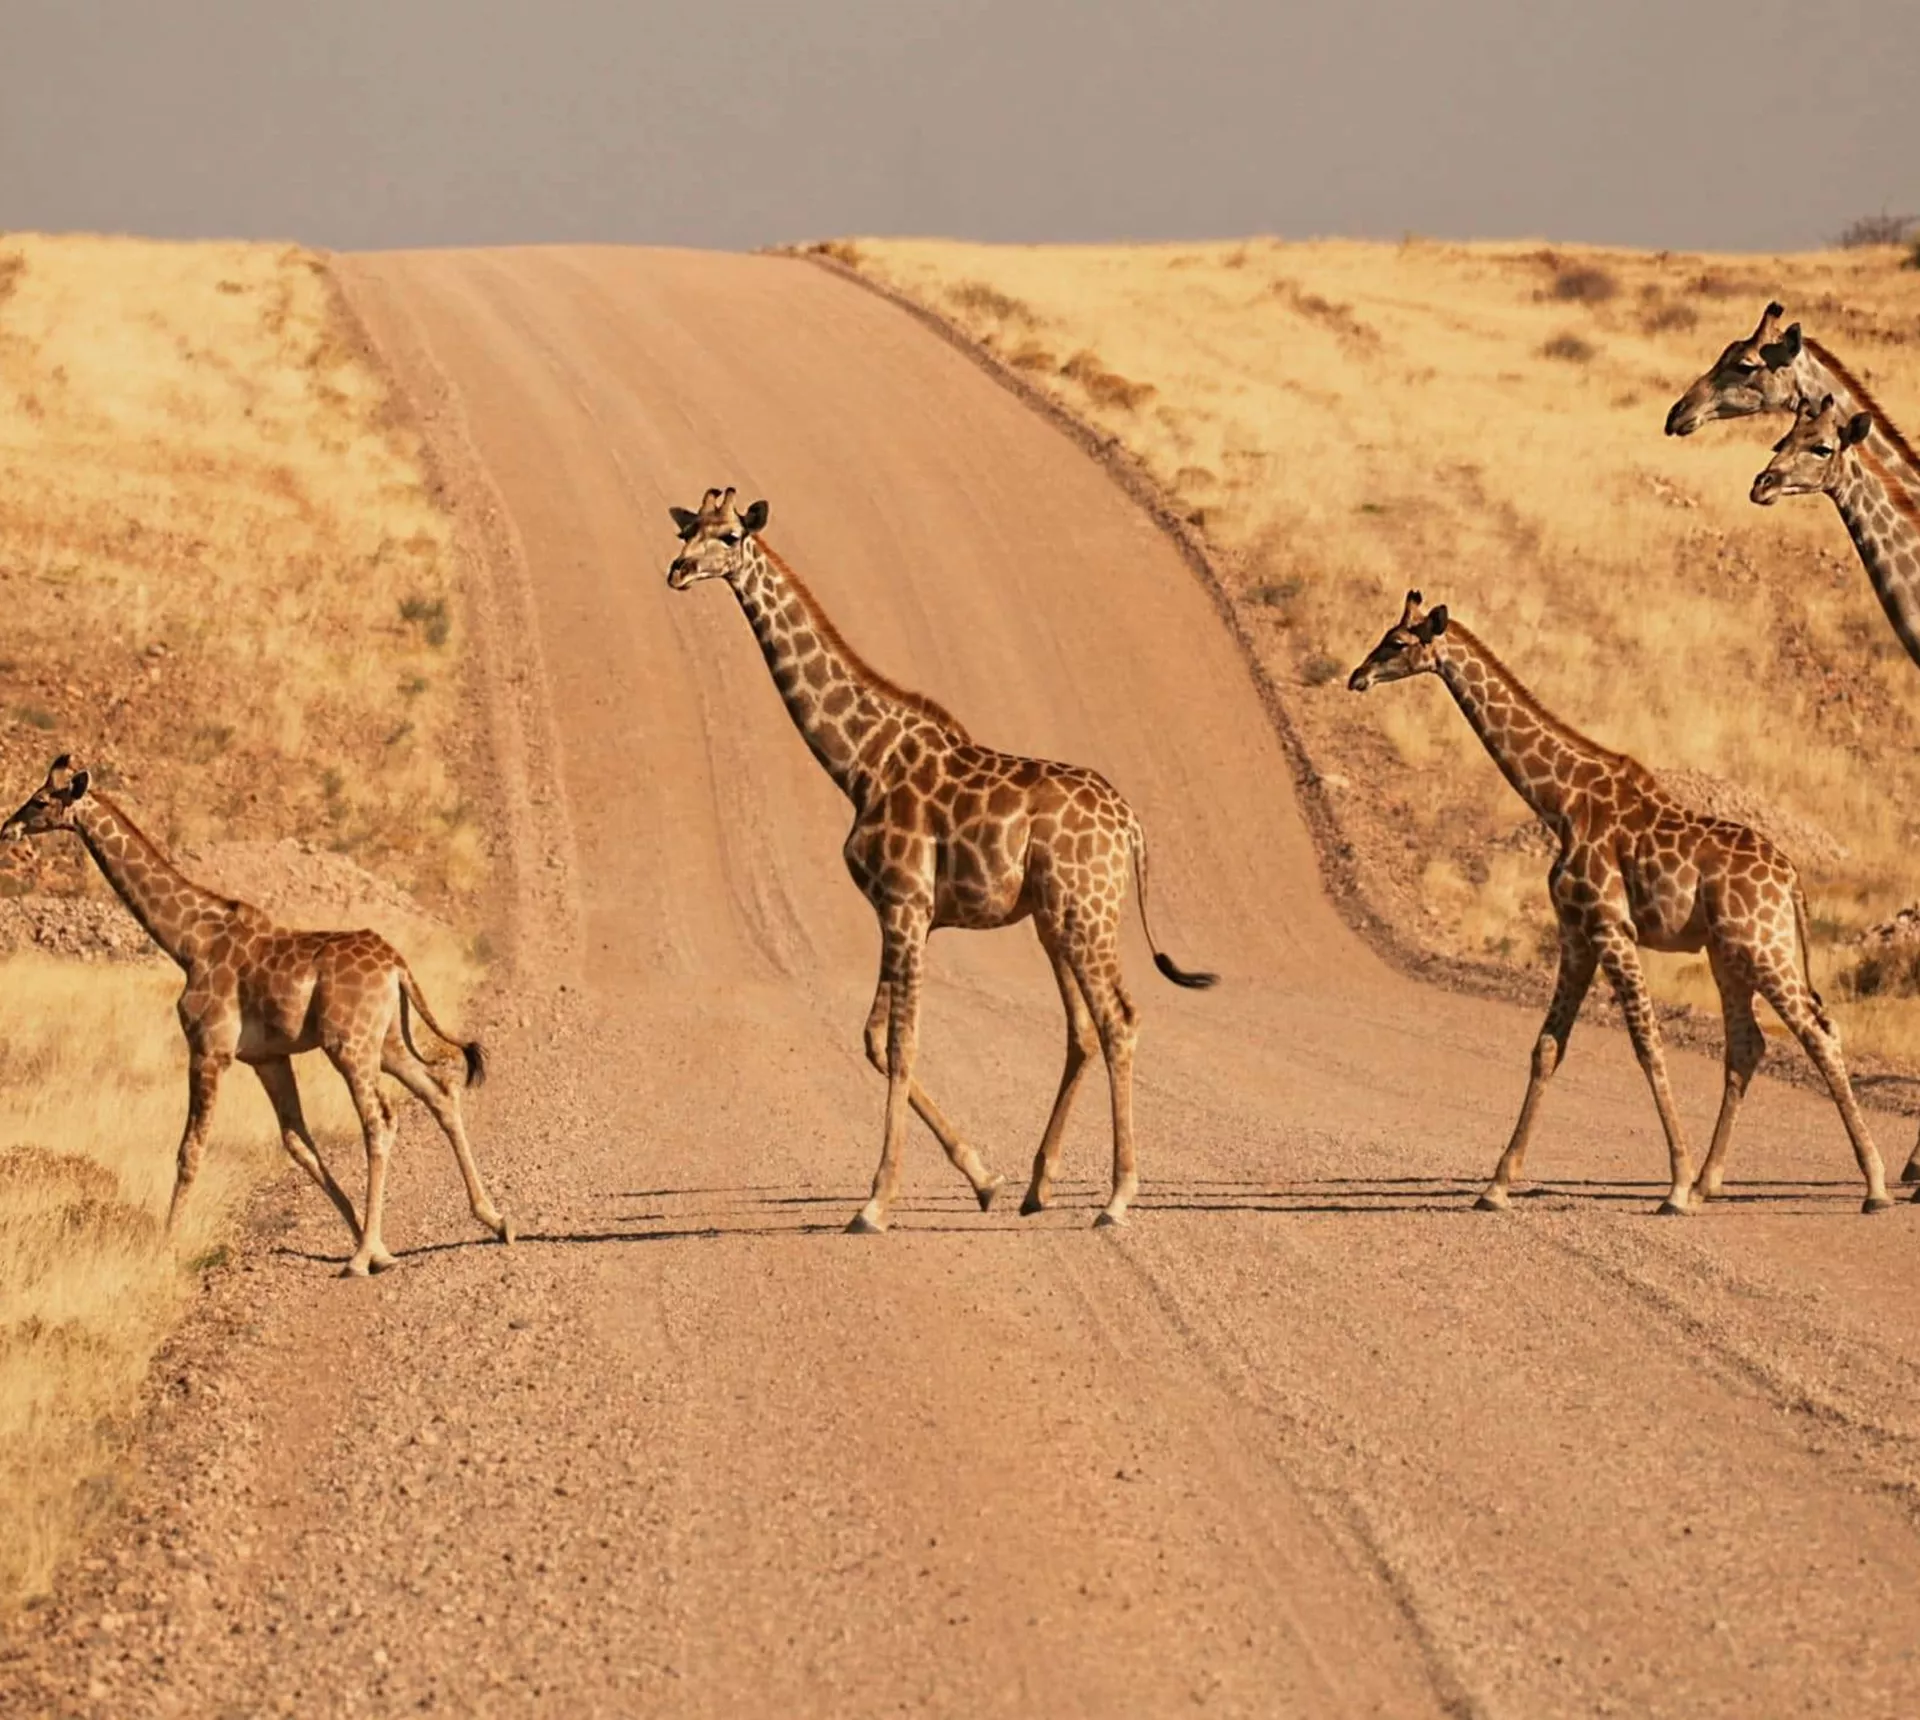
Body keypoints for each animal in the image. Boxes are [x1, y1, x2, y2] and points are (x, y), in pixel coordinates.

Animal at [1, 756, 513, 1274]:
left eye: (40, 800)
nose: (8, 829)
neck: (188, 942)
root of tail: (397, 966)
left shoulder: (209, 1049)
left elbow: (191, 1149)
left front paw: (166, 1247)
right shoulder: (267, 1057)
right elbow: (297, 1142)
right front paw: (369, 1238)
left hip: (349, 1044)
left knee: (381, 1119)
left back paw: (363, 1257)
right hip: (385, 1041)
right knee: (440, 1091)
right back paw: (493, 1221)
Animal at [665, 487, 1215, 1232]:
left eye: (729, 536)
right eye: (688, 529)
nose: (676, 571)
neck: (860, 763)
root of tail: (1131, 827)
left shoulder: (905, 904)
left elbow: (901, 1044)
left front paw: (875, 1203)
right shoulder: (903, 914)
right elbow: (874, 1039)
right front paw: (984, 1179)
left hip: (1087, 912)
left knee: (1119, 1019)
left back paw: (1118, 1197)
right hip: (1053, 920)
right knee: (1082, 1030)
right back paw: (1038, 1187)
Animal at [1347, 593, 1893, 1214]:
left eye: (1396, 642)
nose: (1356, 676)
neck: (1559, 801)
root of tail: (1792, 878)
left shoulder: (1611, 928)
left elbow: (1647, 1043)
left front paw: (1674, 1184)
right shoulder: (1576, 933)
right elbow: (1547, 1046)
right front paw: (1497, 1184)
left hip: (1762, 945)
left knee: (1818, 1031)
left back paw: (1873, 1187)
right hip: (1727, 953)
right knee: (1748, 1043)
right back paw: (1710, 1182)